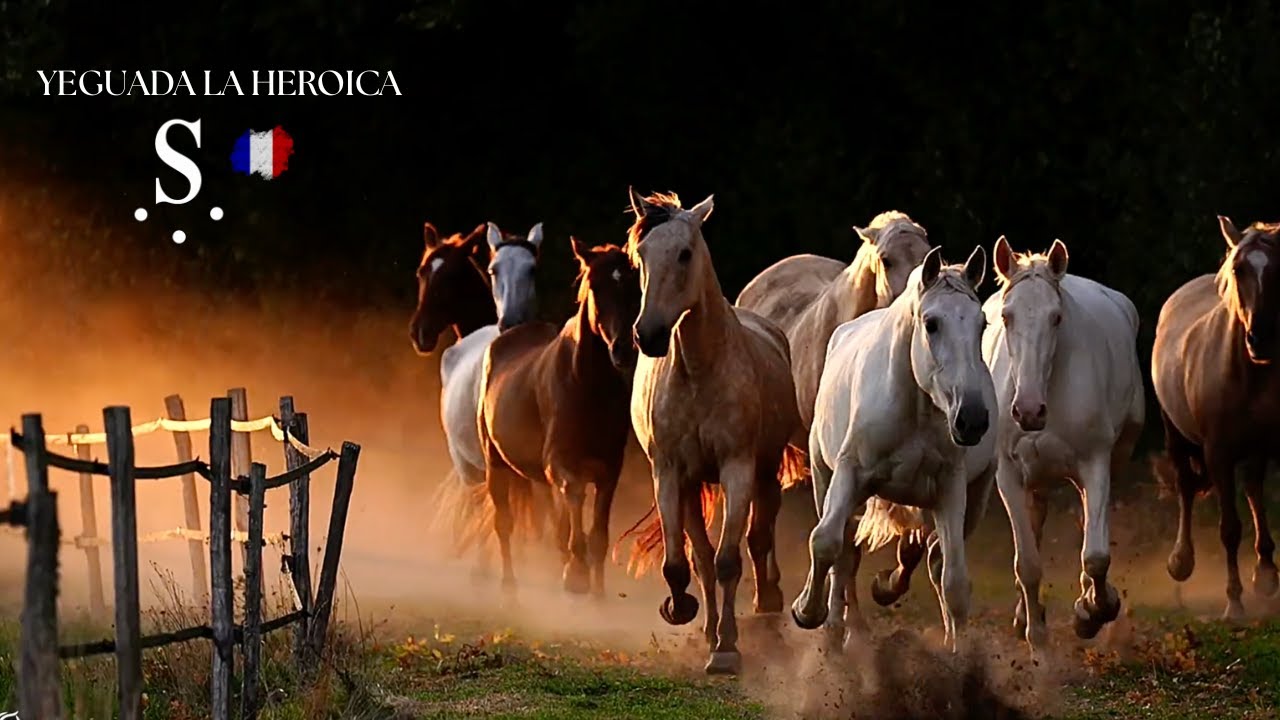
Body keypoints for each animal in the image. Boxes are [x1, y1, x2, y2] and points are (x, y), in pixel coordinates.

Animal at [477, 239, 641, 596]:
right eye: (595, 286)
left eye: (635, 286)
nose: (623, 350)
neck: (588, 386)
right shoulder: (560, 464)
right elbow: (575, 495)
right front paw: (576, 574)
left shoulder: (609, 471)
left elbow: (598, 536)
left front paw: (598, 593)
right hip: (496, 463)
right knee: (504, 524)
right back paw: (509, 587)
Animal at [625, 188, 805, 675]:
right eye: (641, 254)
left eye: (685, 253)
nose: (648, 334)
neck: (699, 370)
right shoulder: (670, 474)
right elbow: (684, 562)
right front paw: (683, 611)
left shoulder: (737, 469)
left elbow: (729, 560)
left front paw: (727, 650)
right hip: (692, 487)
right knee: (702, 556)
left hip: (765, 475)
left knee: (758, 540)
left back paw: (768, 604)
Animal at [791, 246, 996, 652]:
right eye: (931, 324)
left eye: (981, 324)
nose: (972, 420)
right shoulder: (849, 474)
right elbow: (825, 542)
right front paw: (807, 612)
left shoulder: (951, 489)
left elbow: (955, 581)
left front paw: (961, 656)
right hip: (826, 478)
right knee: (844, 552)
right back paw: (834, 629)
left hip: (974, 498)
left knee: (935, 561)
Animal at [981, 236, 1144, 649]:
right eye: (1006, 316)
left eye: (1056, 318)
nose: (1028, 411)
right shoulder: (1008, 475)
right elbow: (1027, 562)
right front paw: (1036, 635)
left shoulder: (1096, 463)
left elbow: (1097, 554)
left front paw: (1093, 612)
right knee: (1036, 526)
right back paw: (1026, 613)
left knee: (1090, 522)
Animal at [1153, 216, 1280, 620]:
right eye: (1239, 270)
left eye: (1279, 269)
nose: (1260, 339)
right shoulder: (1218, 454)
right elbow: (1229, 529)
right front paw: (1234, 603)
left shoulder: (1266, 445)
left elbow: (1253, 500)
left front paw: (1263, 576)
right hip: (1176, 434)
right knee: (1185, 486)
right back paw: (1181, 560)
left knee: (1253, 489)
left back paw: (1266, 573)